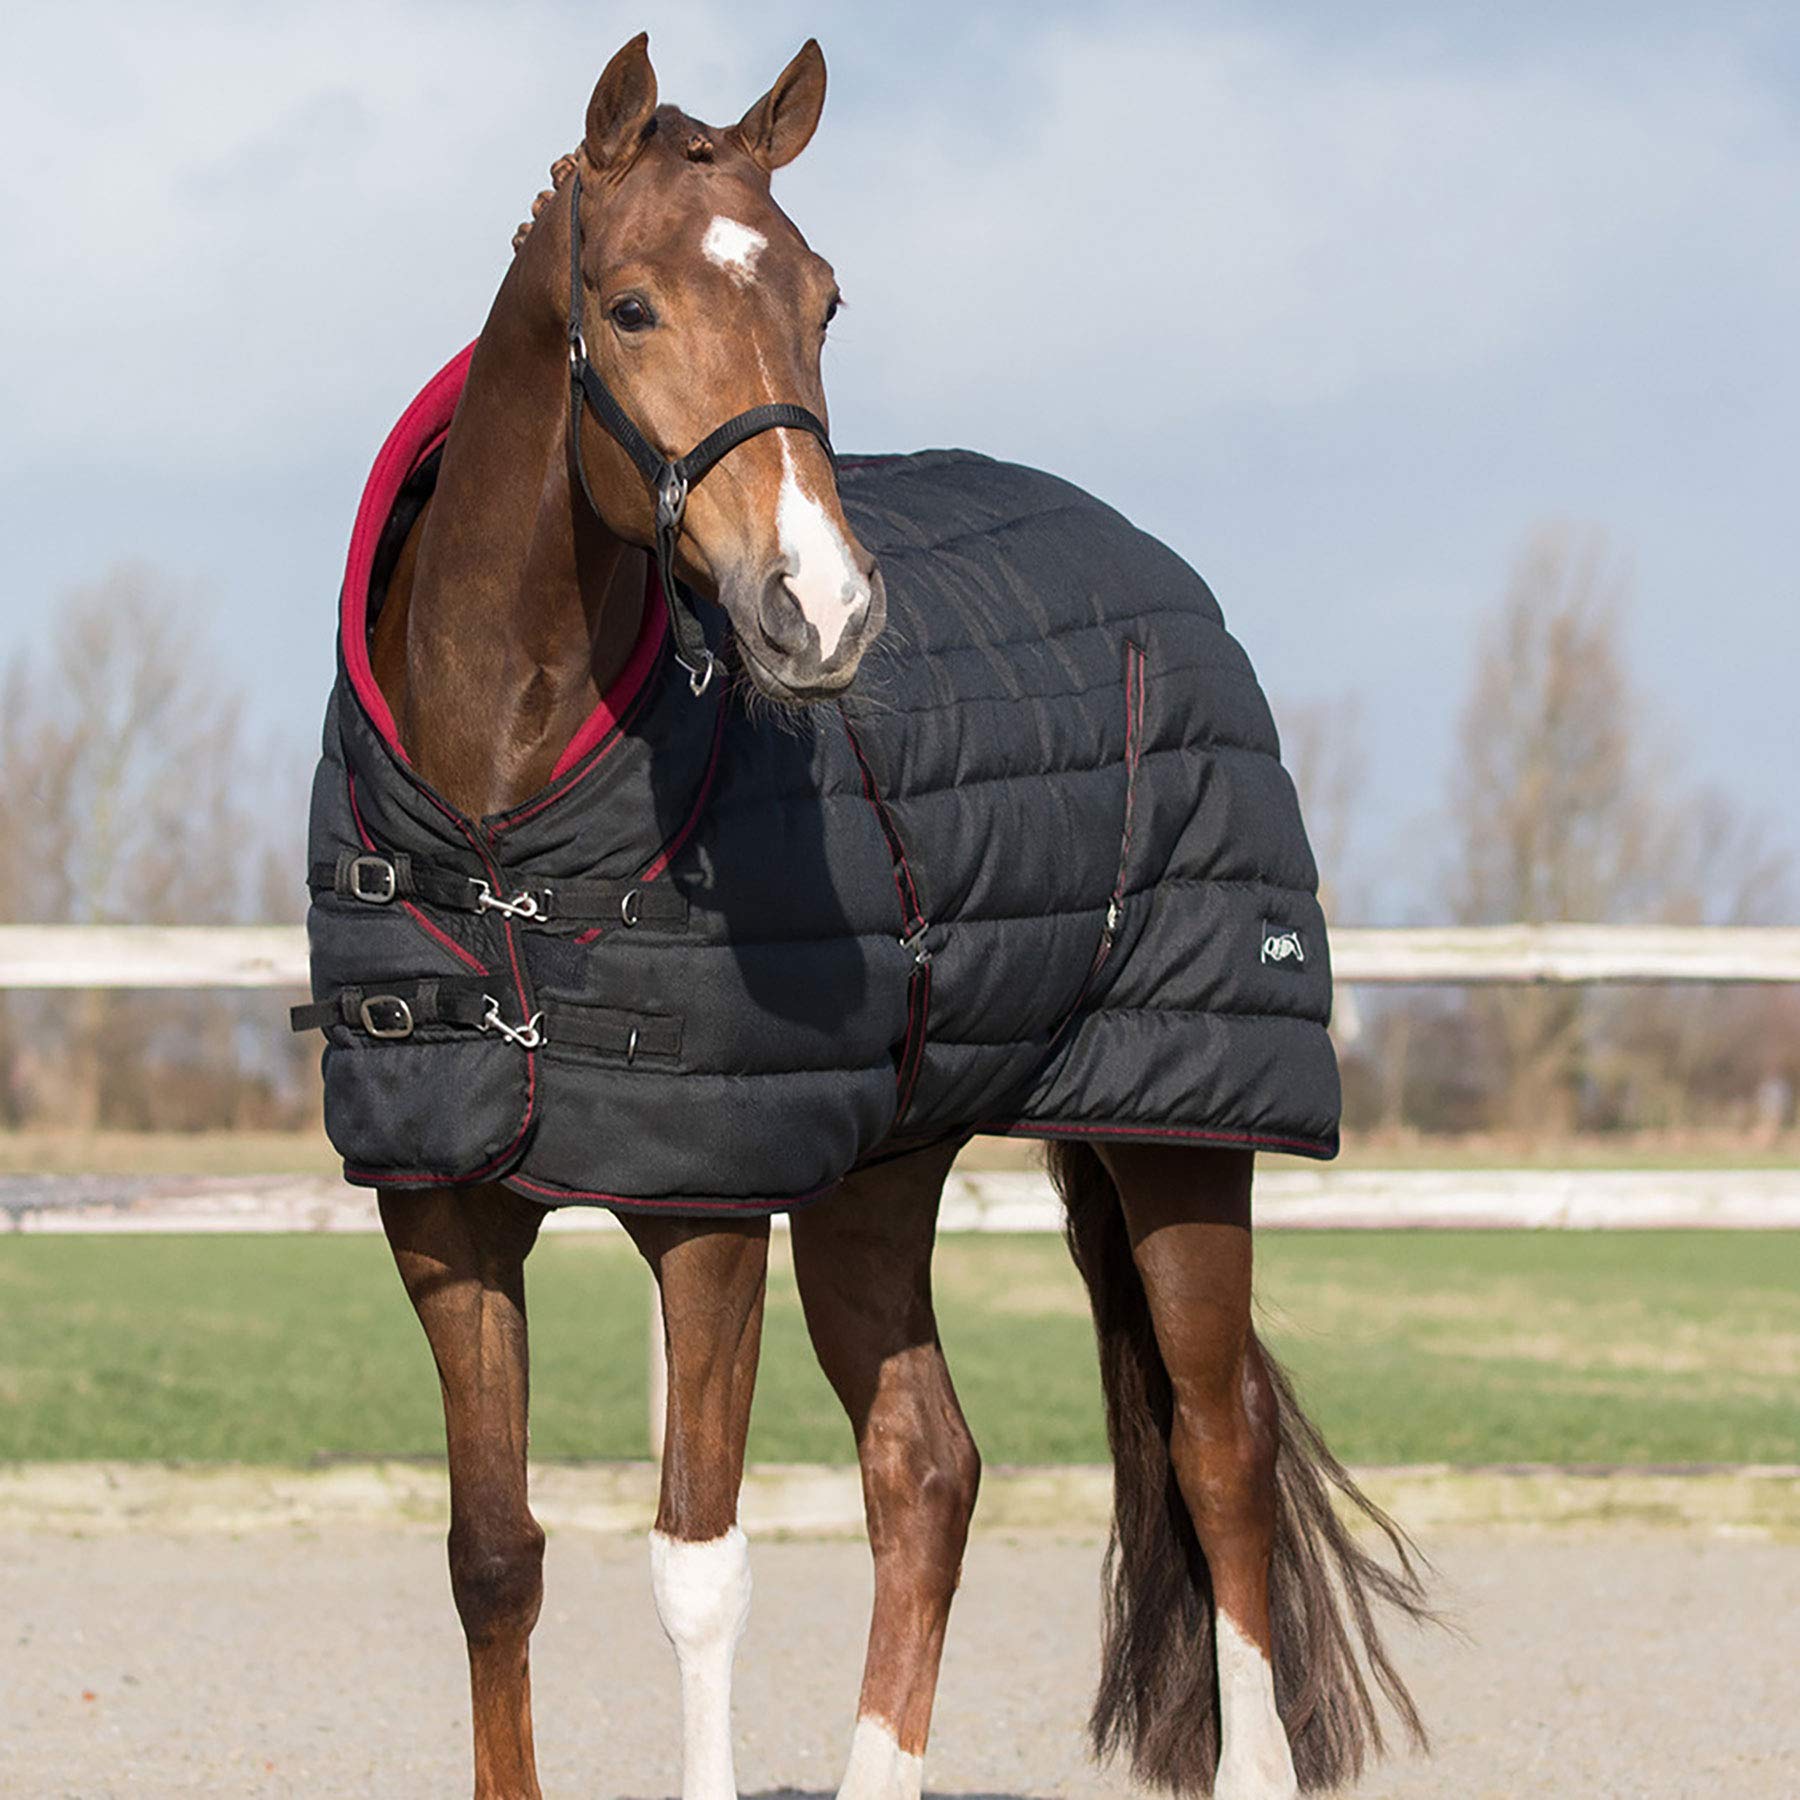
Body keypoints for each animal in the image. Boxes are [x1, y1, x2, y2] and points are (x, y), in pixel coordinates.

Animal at [310, 34, 1430, 1800]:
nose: (821, 611)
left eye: (825, 298)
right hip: (877, 1176)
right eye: (629, 305)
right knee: (927, 1466)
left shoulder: (704, 1213)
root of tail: (1159, 569)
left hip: (1181, 1140)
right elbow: (494, 1558)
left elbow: (697, 1569)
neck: (500, 813)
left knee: (1220, 1456)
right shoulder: (444, 1217)